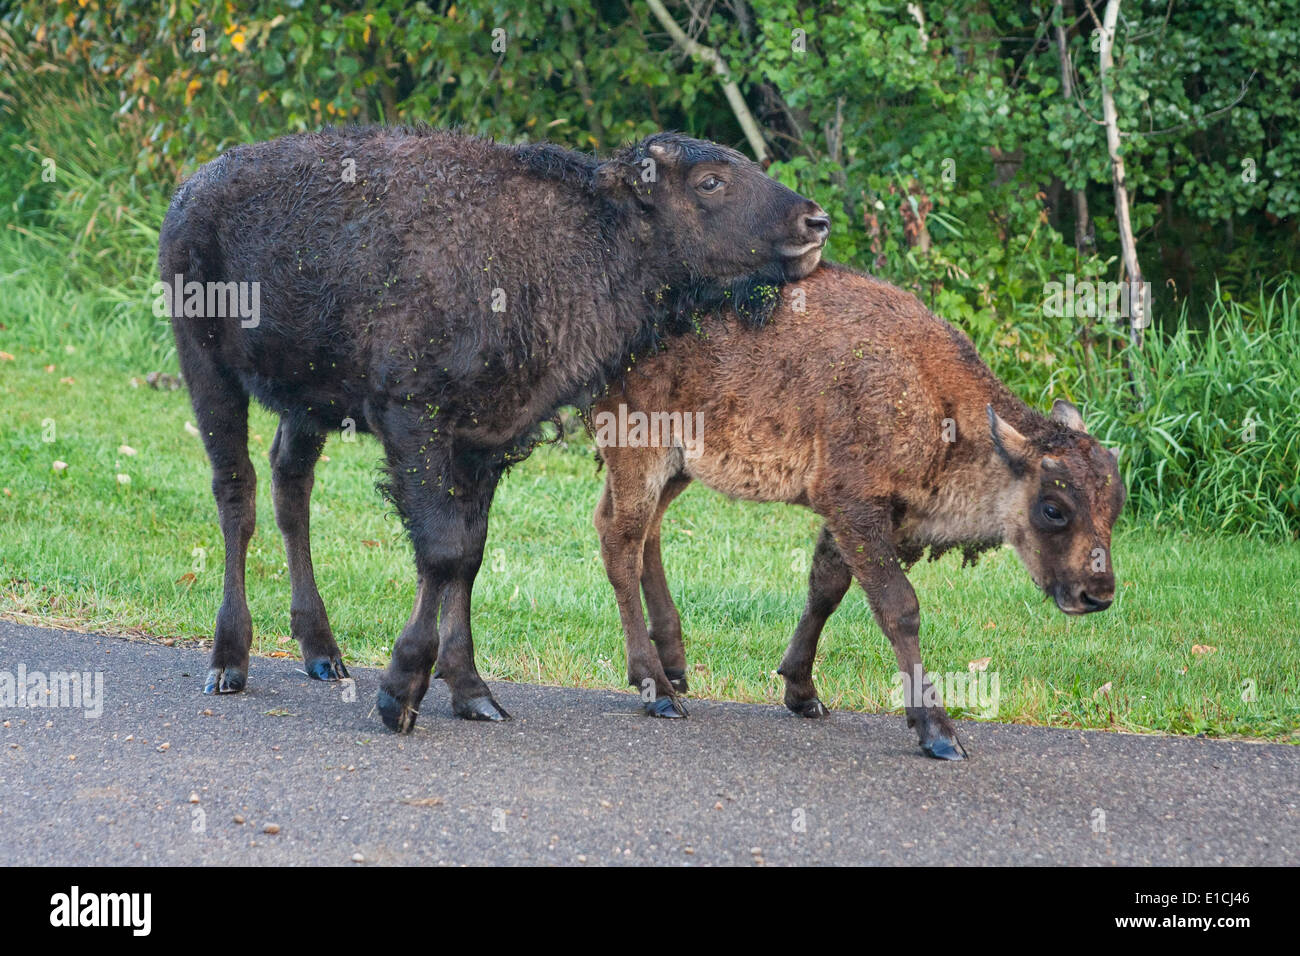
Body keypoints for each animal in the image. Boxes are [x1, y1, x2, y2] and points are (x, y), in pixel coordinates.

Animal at [162, 125, 826, 723]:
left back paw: (323, 653)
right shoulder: (415, 422)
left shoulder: (486, 442)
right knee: (236, 493)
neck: (580, 237)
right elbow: (442, 550)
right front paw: (401, 690)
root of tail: (190, 189)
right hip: (207, 367)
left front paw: (473, 693)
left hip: (305, 404)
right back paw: (228, 662)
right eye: (710, 181)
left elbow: (469, 556)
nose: (814, 223)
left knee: (290, 487)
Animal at [595, 265, 1123, 759]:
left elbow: (826, 589)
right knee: (620, 540)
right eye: (1053, 508)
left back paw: (675, 667)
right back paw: (659, 691)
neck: (933, 395)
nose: (1096, 595)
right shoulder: (854, 506)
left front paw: (802, 692)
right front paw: (938, 732)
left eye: (1115, 504)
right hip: (641, 449)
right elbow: (899, 607)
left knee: (645, 535)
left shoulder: (852, 518)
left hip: (678, 465)